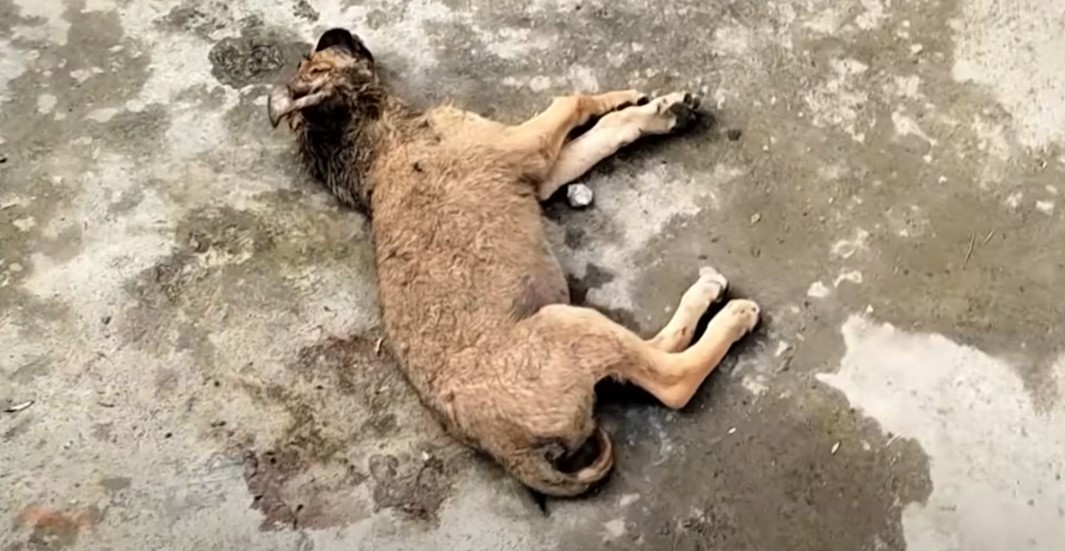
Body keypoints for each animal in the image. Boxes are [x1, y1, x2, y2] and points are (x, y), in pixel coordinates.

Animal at [267, 27, 760, 498]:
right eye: (313, 62)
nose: (331, 33)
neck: (375, 145)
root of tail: (508, 450)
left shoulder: (541, 172)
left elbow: (606, 131)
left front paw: (653, 110)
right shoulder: (525, 146)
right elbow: (572, 100)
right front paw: (627, 102)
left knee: (648, 354)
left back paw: (704, 296)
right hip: (566, 326)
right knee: (672, 380)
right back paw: (731, 316)